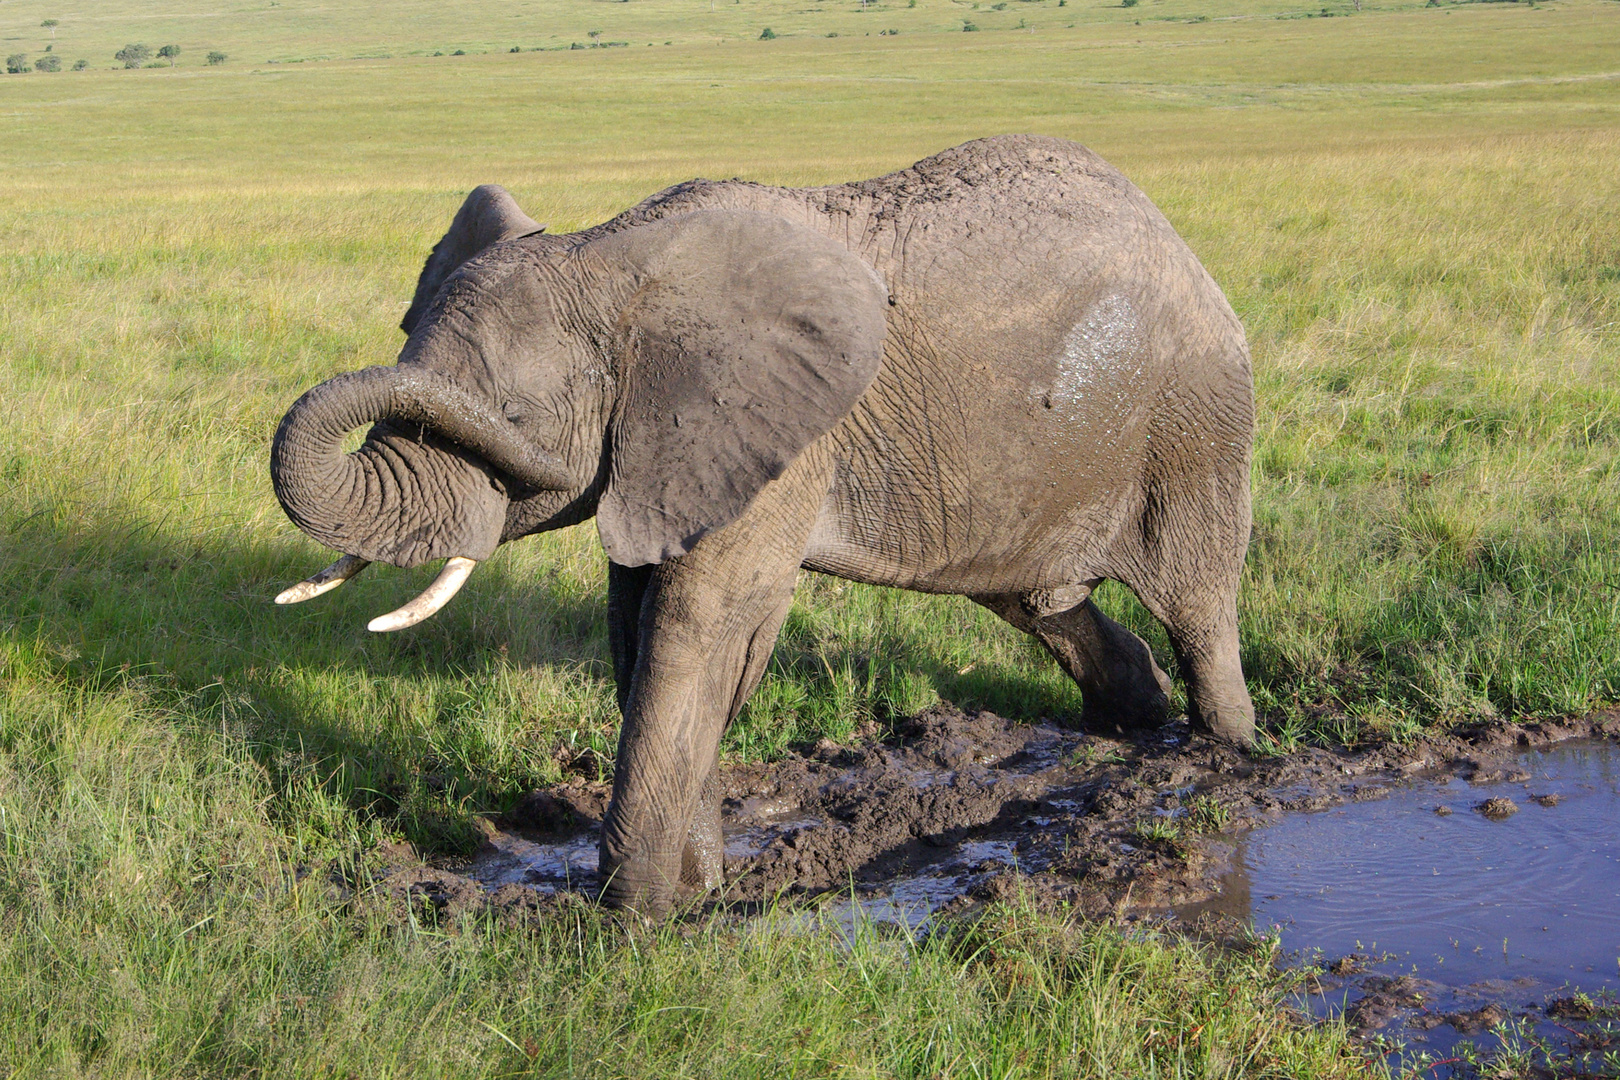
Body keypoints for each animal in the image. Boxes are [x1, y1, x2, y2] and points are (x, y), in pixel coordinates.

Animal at [268, 132, 1250, 913]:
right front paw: (701, 892)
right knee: (1036, 598)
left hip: (1190, 420)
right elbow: (637, 628)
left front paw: (631, 921)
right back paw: (1133, 721)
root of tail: (1177, 238)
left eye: (510, 416)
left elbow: (700, 625)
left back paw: (1226, 758)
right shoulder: (664, 451)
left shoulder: (775, 438)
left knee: (1196, 603)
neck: (611, 260)